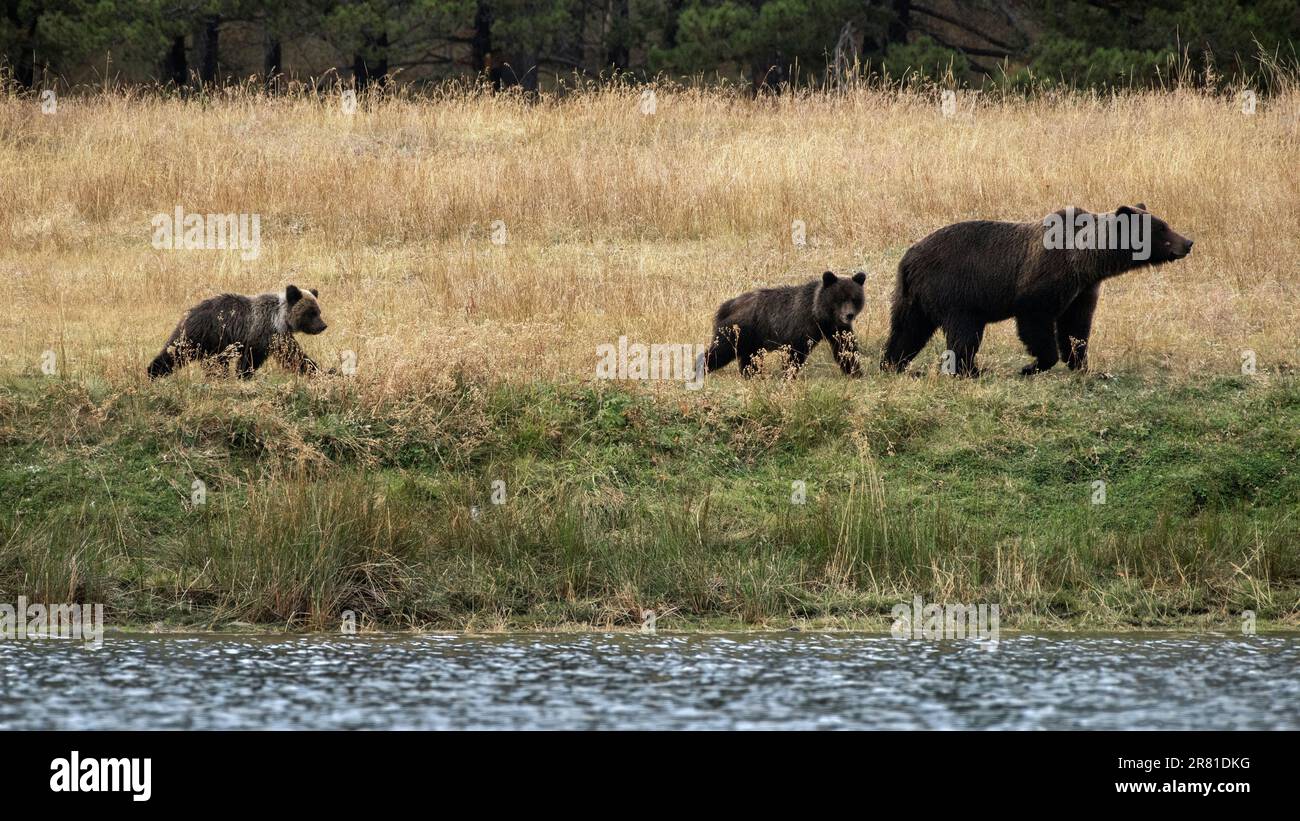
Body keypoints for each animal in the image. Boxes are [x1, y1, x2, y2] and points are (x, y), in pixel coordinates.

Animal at [147, 285, 327, 379]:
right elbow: (253, 358)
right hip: (203, 336)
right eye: (311, 313)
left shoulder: (279, 337)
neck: (279, 318)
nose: (323, 326)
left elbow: (294, 356)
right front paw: (244, 375)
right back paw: (153, 372)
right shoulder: (262, 333)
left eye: (318, 311)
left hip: (214, 347)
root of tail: (189, 312)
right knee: (176, 352)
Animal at [707, 271, 868, 376]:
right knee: (720, 351)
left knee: (749, 359)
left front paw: (855, 371)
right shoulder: (801, 326)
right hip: (739, 330)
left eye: (854, 298)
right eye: (840, 299)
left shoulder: (836, 328)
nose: (849, 315)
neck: (819, 315)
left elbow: (845, 348)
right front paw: (789, 374)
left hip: (752, 339)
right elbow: (795, 352)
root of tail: (729, 304)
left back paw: (751, 374)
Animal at [878, 203, 1190, 376]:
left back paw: (893, 364)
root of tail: (908, 258)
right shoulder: (1041, 283)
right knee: (963, 335)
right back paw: (972, 370)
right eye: (1161, 228)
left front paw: (1084, 366)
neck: (1085, 260)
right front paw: (1033, 366)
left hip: (913, 297)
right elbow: (1036, 323)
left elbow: (1076, 327)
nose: (1188, 242)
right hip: (955, 292)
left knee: (907, 331)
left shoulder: (1081, 290)